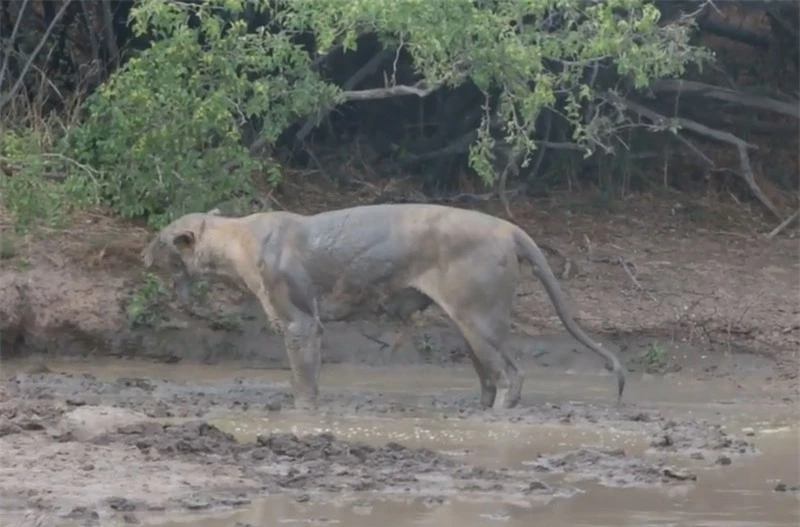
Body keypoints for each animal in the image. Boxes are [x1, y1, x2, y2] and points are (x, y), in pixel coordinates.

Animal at [144, 204, 624, 410]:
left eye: (160, 239)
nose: (143, 256)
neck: (234, 243)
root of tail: (510, 228)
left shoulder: (301, 322)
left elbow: (304, 381)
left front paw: (302, 412)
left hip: (480, 319)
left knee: (512, 375)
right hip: (468, 325)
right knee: (490, 377)